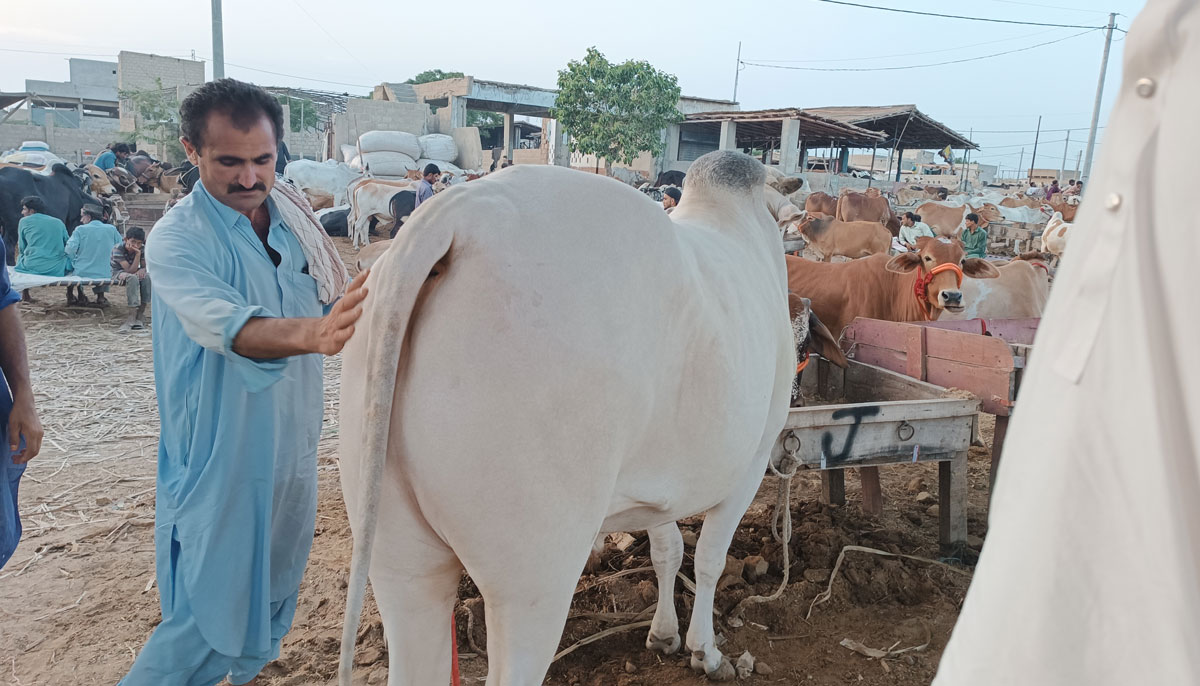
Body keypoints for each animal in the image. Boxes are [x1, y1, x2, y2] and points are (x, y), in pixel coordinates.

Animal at [336, 151, 796, 686]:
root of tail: (463, 210)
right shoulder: (753, 459)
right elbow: (709, 559)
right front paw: (705, 650)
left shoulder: (663, 486)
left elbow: (669, 552)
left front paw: (664, 635)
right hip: (534, 576)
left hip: (398, 561)